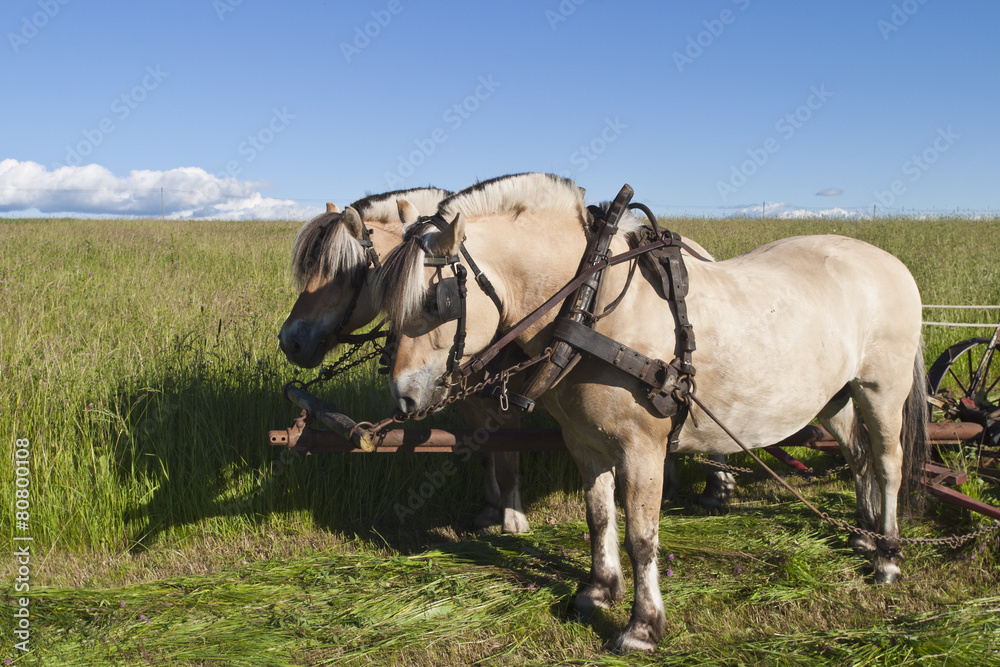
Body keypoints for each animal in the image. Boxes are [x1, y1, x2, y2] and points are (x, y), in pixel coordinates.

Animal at [376, 172, 928, 652]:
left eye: (436, 301)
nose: (402, 398)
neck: (590, 303)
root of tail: (892, 262)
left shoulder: (642, 449)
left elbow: (642, 537)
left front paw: (643, 626)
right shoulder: (585, 442)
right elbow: (599, 517)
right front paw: (598, 591)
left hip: (881, 389)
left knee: (887, 464)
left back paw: (887, 556)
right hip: (836, 397)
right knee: (857, 457)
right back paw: (863, 535)